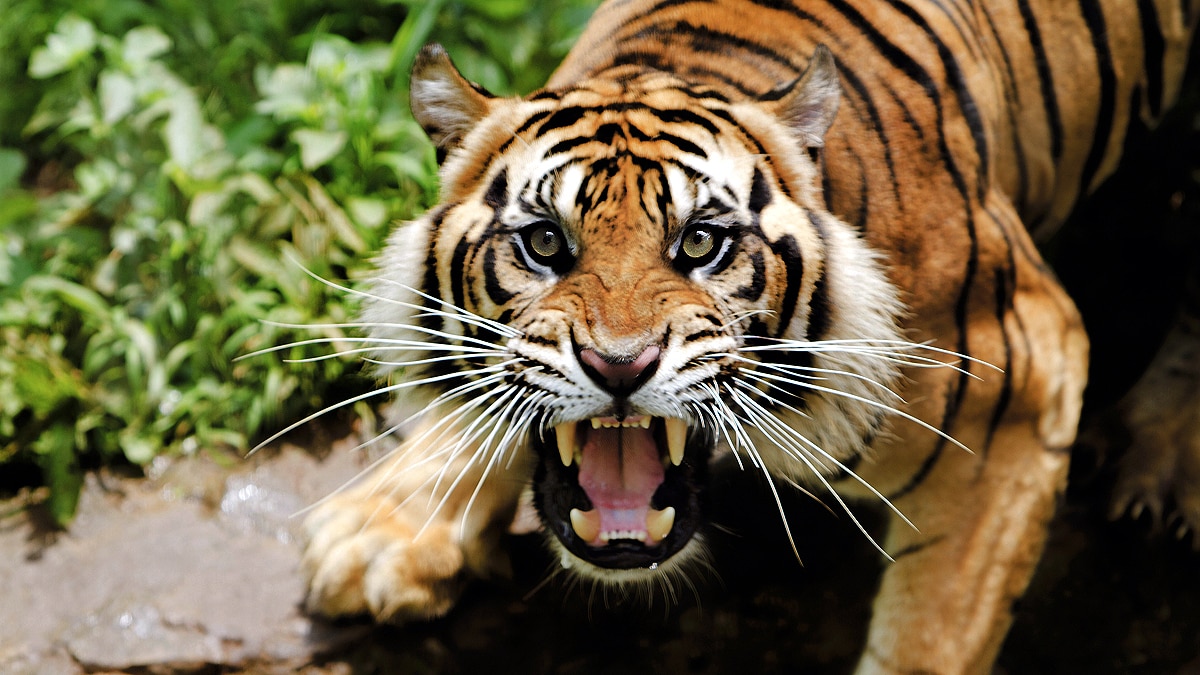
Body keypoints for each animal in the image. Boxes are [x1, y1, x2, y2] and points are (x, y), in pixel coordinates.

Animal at [297, 0, 1199, 672]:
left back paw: (1160, 458)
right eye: (545, 242)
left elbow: (929, 636)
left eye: (701, 242)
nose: (618, 365)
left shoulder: (1023, 375)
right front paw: (384, 529)